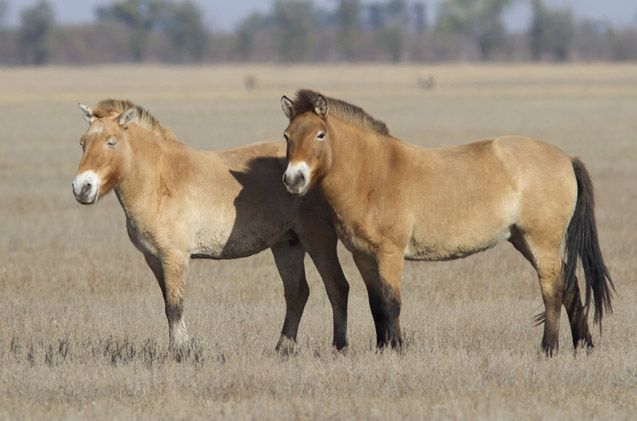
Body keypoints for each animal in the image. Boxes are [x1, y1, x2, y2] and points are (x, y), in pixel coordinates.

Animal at [72, 98, 350, 352]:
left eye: (111, 142)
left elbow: (175, 306)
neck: (158, 180)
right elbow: (168, 303)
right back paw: (283, 348)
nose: (82, 187)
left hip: (318, 241)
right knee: (297, 293)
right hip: (287, 245)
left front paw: (180, 351)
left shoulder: (175, 257)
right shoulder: (154, 259)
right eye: (83, 143)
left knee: (337, 287)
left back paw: (339, 345)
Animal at [280, 90, 612, 356]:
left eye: (320, 134)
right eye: (287, 136)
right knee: (570, 285)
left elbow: (391, 302)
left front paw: (396, 349)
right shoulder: (363, 255)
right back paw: (583, 346)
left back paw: (549, 349)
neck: (372, 173)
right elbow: (376, 303)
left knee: (553, 290)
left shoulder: (390, 253)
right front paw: (381, 348)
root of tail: (566, 158)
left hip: (541, 241)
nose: (294, 179)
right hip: (523, 240)